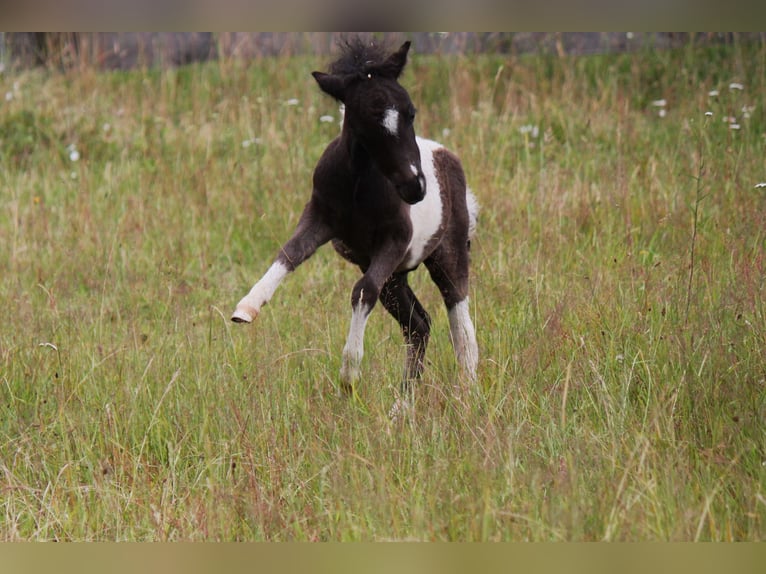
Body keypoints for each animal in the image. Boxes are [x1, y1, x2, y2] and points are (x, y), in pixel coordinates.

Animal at [232, 39, 480, 404]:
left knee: (460, 328)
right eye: (367, 120)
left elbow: (363, 290)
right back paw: (402, 406)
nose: (415, 187)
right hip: (394, 276)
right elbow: (289, 254)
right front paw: (246, 307)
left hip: (446, 255)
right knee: (418, 324)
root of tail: (447, 156)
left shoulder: (396, 239)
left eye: (410, 112)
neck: (358, 184)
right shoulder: (319, 217)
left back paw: (467, 395)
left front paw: (349, 374)